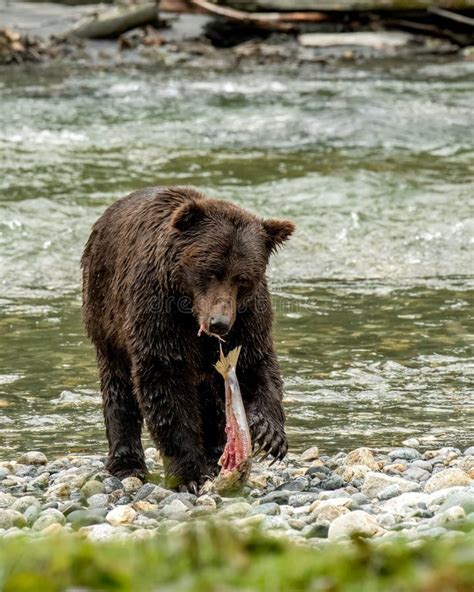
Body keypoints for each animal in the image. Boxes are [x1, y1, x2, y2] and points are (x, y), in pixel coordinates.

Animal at [83, 185, 294, 490]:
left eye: (243, 279)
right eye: (211, 271)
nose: (219, 323)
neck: (189, 308)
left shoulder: (249, 317)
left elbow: (255, 364)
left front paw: (270, 434)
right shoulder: (157, 310)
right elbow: (165, 380)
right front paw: (189, 475)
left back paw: (215, 453)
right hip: (105, 311)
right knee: (118, 387)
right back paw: (126, 463)